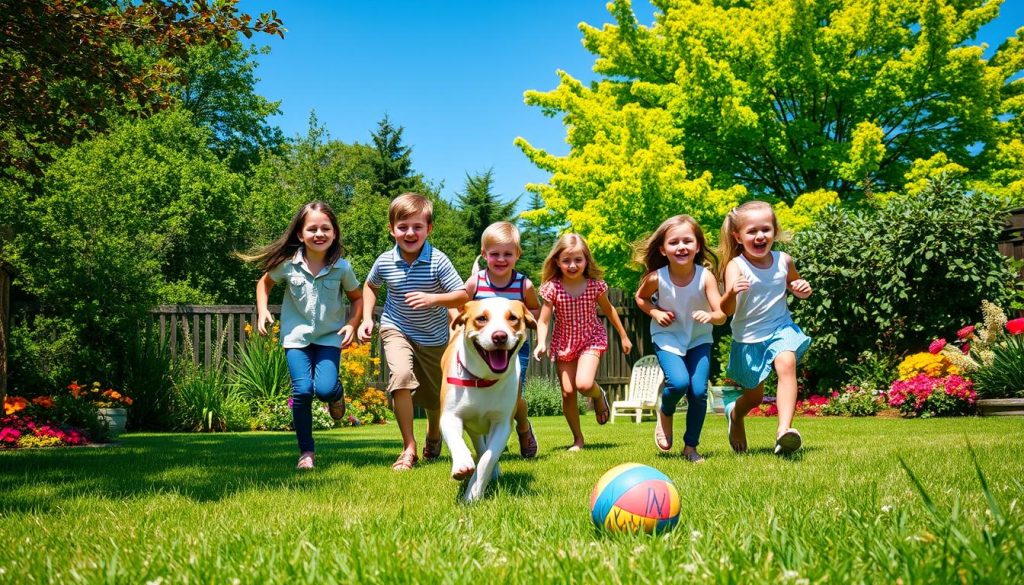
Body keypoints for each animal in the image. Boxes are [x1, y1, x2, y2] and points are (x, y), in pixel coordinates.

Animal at [438, 297, 536, 504]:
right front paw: (462, 463)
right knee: (478, 443)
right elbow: (457, 440)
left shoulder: (502, 424)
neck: (483, 380)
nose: (499, 336)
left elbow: (487, 459)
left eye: (513, 318)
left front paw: (473, 492)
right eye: (481, 318)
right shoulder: (450, 415)